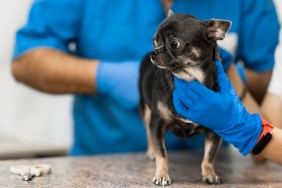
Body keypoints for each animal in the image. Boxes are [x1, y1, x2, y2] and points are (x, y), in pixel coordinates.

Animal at [139, 11, 231, 186]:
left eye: (174, 43)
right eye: (154, 41)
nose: (153, 52)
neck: (189, 79)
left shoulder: (214, 131)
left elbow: (209, 156)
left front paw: (210, 173)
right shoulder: (157, 124)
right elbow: (162, 154)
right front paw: (162, 175)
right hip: (145, 111)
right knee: (148, 133)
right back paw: (151, 152)